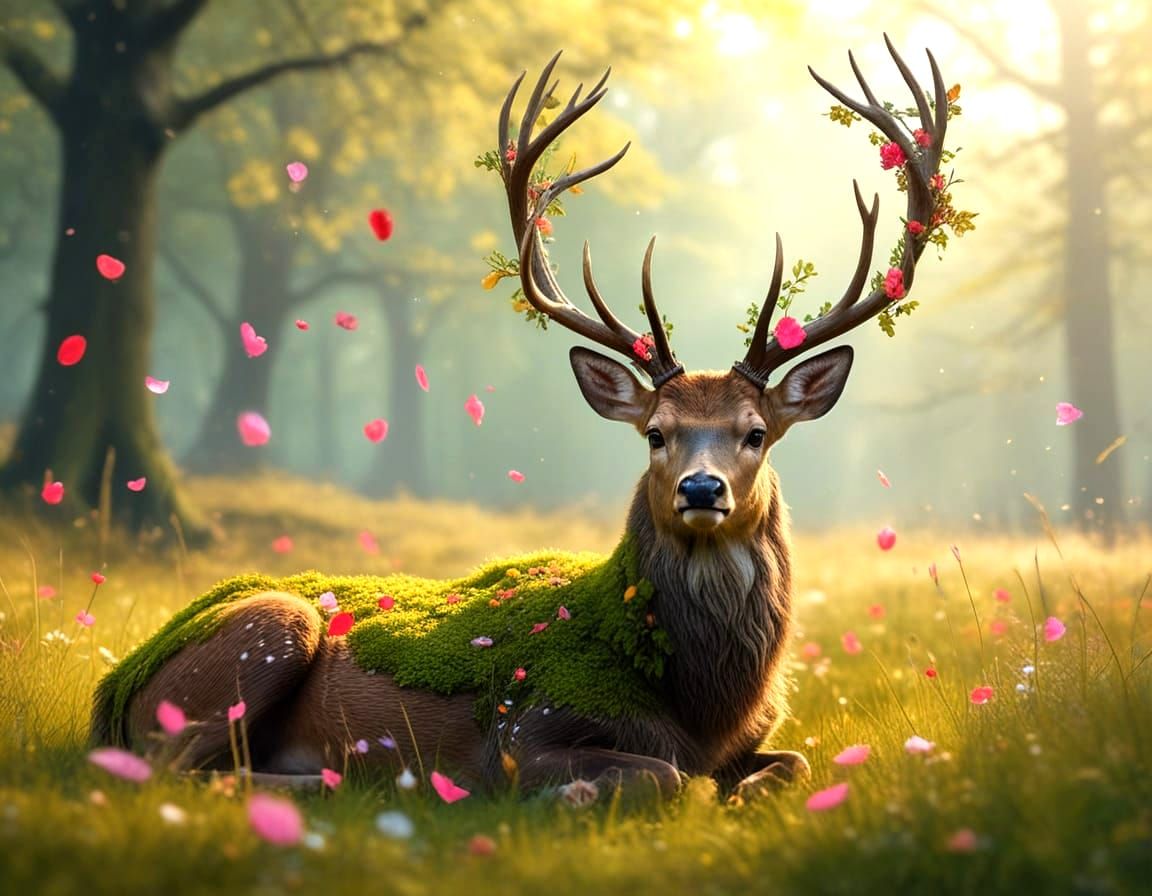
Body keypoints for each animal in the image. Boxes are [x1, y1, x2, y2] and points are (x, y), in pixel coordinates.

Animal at [91, 37, 952, 804]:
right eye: (656, 433)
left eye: (756, 433)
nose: (702, 490)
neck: (705, 707)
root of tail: (115, 690)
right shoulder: (521, 727)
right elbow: (666, 778)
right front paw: (572, 796)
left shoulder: (755, 739)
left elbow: (794, 765)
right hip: (263, 636)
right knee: (178, 771)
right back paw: (353, 780)